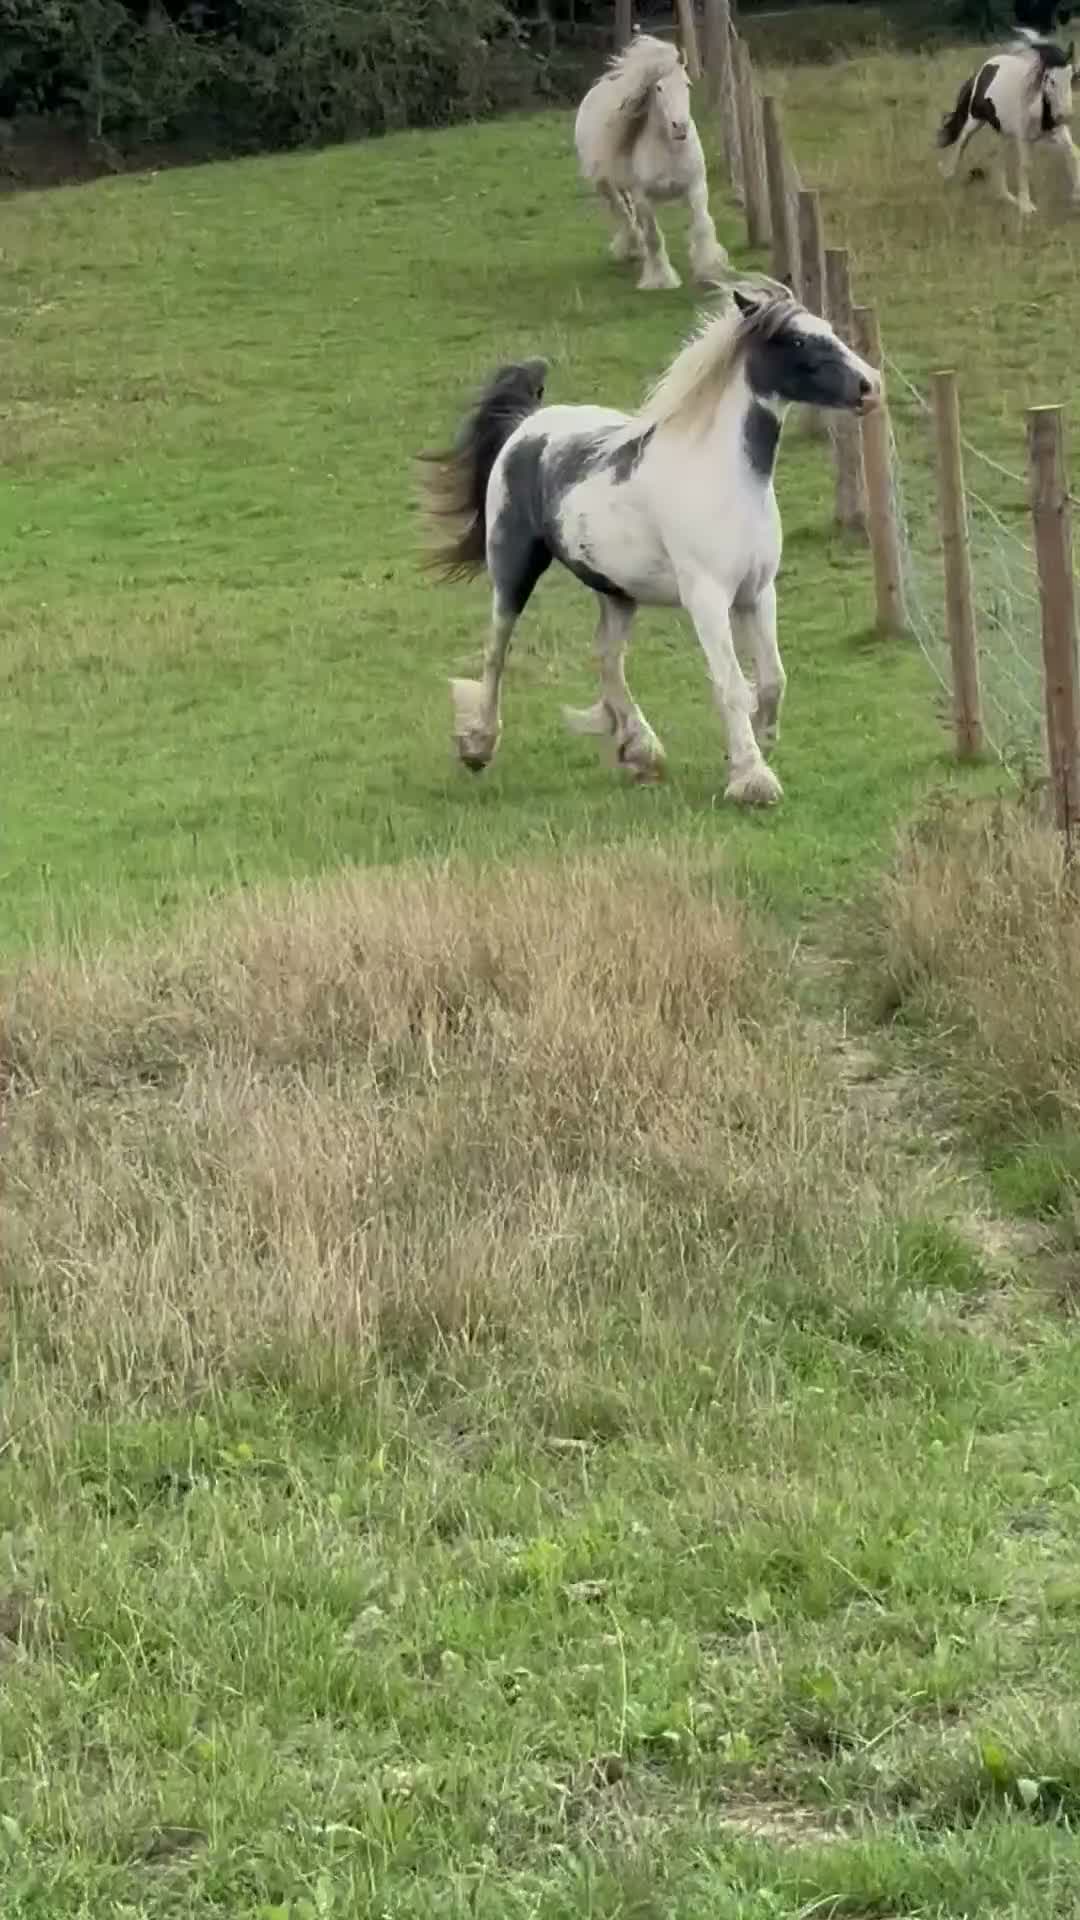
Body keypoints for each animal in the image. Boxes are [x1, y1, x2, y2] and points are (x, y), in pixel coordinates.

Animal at [418, 282, 880, 810]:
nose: (870, 385)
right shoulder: (707, 598)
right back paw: (479, 746)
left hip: (616, 591)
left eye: (828, 329)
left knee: (607, 658)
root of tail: (527, 425)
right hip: (513, 570)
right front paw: (751, 779)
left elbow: (771, 680)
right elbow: (731, 684)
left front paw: (759, 742)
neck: (725, 479)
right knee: (496, 652)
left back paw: (641, 751)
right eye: (799, 340)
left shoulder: (758, 593)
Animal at [573, 32, 728, 292]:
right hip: (606, 185)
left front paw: (711, 272)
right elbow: (653, 236)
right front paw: (660, 280)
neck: (669, 149)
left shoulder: (696, 187)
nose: (680, 126)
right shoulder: (643, 198)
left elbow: (702, 225)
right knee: (624, 214)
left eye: (687, 84)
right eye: (659, 87)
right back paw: (633, 250)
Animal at [937, 29, 1080, 214]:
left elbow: (1074, 153)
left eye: (1073, 77)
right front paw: (1026, 206)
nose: (1065, 115)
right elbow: (1025, 165)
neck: (1037, 106)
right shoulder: (1023, 138)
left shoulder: (1058, 132)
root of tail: (983, 69)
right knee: (962, 140)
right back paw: (948, 174)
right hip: (975, 119)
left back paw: (1006, 196)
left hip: (1002, 131)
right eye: (1051, 80)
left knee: (999, 158)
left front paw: (1076, 196)